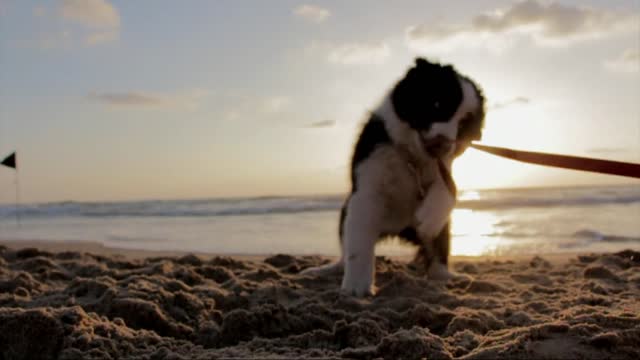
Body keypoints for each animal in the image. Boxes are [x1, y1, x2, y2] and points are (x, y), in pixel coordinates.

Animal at [302, 58, 482, 296]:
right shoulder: (366, 188)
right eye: (436, 104)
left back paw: (447, 276)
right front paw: (356, 288)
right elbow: (358, 244)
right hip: (345, 212)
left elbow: (447, 191)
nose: (443, 143)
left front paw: (428, 219)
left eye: (463, 127)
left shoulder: (443, 169)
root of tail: (398, 230)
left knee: (437, 253)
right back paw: (325, 269)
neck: (411, 157)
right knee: (345, 250)